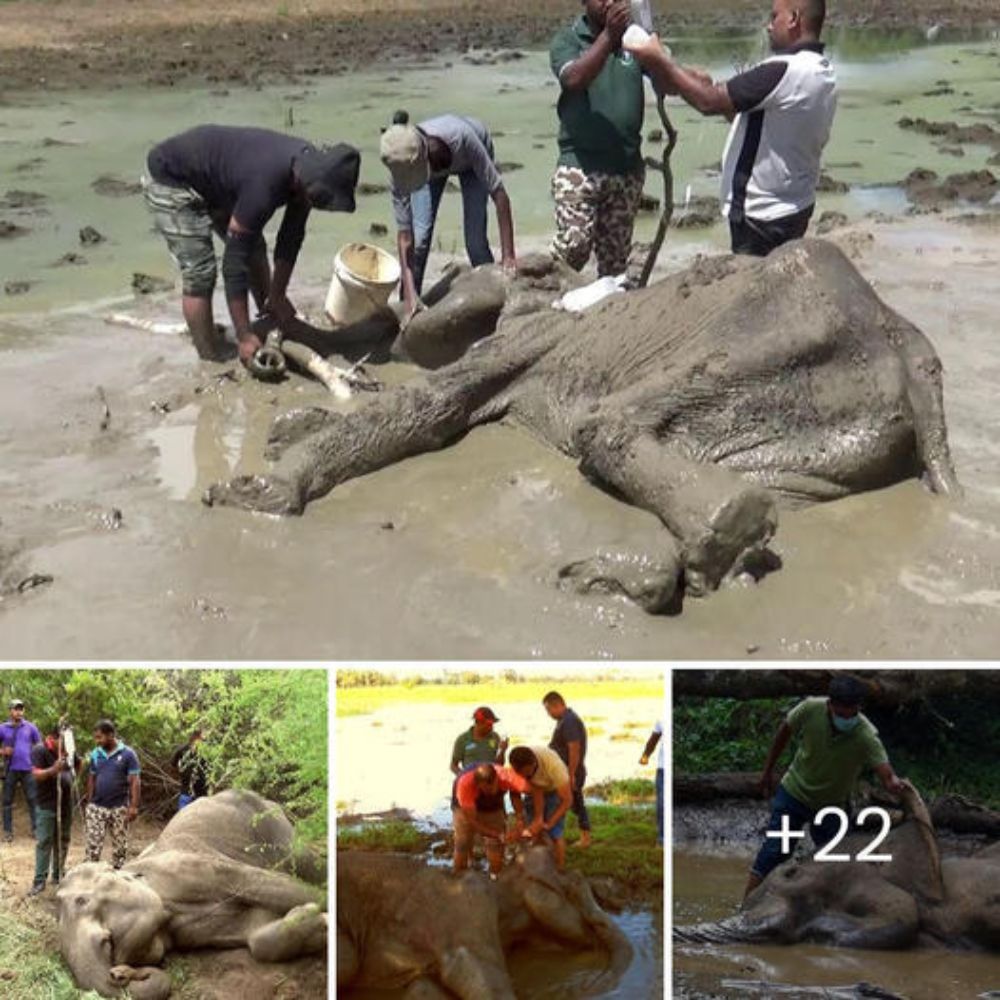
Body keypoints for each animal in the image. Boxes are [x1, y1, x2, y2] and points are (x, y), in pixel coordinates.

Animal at [57, 788, 328, 1000]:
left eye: (82, 901)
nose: (118, 973)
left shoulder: (195, 869)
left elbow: (274, 886)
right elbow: (257, 938)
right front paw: (314, 918)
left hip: (275, 826)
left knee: (306, 860)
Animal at [205, 242, 960, 612]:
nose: (437, 272)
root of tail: (914, 354)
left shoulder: (531, 338)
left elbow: (429, 410)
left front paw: (263, 491)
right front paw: (287, 430)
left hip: (767, 340)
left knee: (609, 428)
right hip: (815, 439)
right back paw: (627, 577)